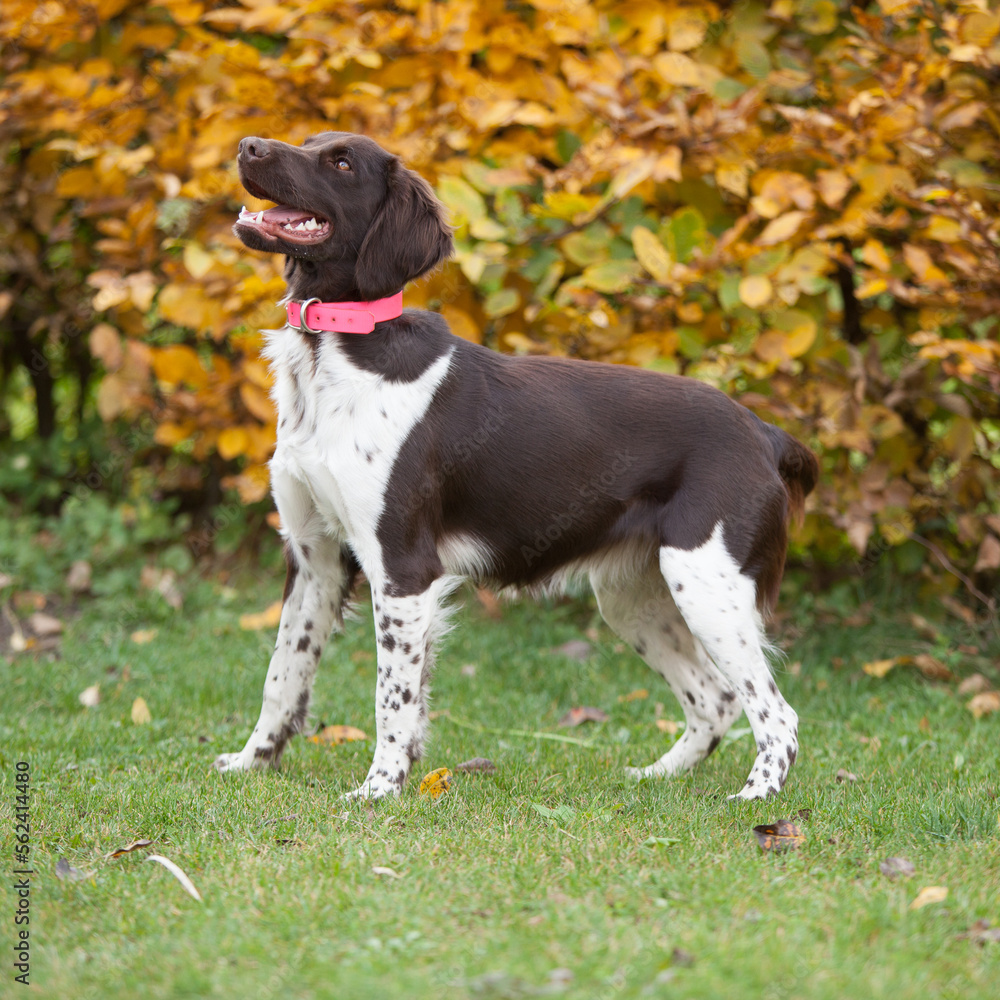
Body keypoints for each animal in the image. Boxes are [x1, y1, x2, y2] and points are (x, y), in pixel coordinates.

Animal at [215, 135, 816, 804]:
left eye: (341, 163)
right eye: (311, 143)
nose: (248, 145)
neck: (337, 351)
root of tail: (763, 433)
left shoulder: (403, 567)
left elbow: (390, 698)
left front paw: (379, 790)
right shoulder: (313, 557)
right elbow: (282, 676)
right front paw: (252, 763)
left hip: (707, 582)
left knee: (776, 713)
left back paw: (755, 797)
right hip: (636, 597)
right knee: (714, 702)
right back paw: (656, 778)